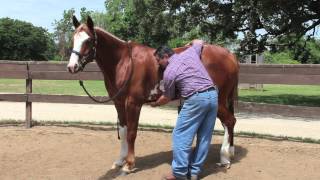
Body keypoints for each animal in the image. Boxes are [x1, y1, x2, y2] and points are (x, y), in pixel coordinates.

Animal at [67, 16, 238, 172]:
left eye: (88, 40)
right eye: (73, 38)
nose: (71, 66)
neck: (124, 63)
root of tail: (229, 55)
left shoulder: (133, 104)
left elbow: (131, 133)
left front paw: (129, 164)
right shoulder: (119, 103)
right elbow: (123, 131)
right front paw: (120, 160)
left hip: (219, 99)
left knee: (230, 121)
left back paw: (225, 158)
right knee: (226, 123)